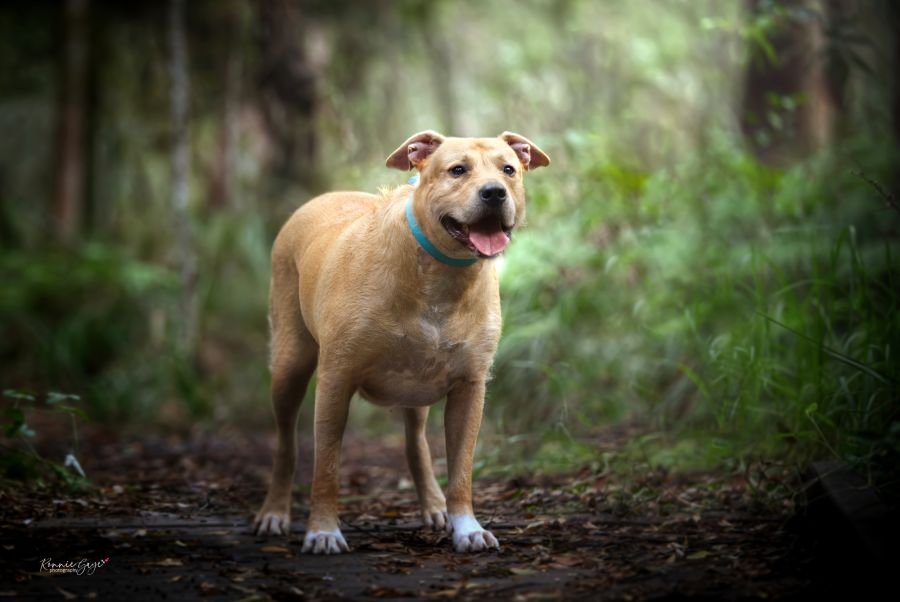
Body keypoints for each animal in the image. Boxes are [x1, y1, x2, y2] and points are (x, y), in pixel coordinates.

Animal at [253, 130, 550, 554]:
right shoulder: (336, 379)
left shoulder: (470, 387)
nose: (494, 192)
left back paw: (434, 504)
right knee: (285, 444)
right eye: (457, 170)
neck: (439, 274)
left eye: (508, 169)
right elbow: (326, 464)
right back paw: (274, 512)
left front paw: (467, 527)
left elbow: (461, 469)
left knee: (415, 442)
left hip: (416, 388)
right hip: (289, 364)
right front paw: (323, 531)